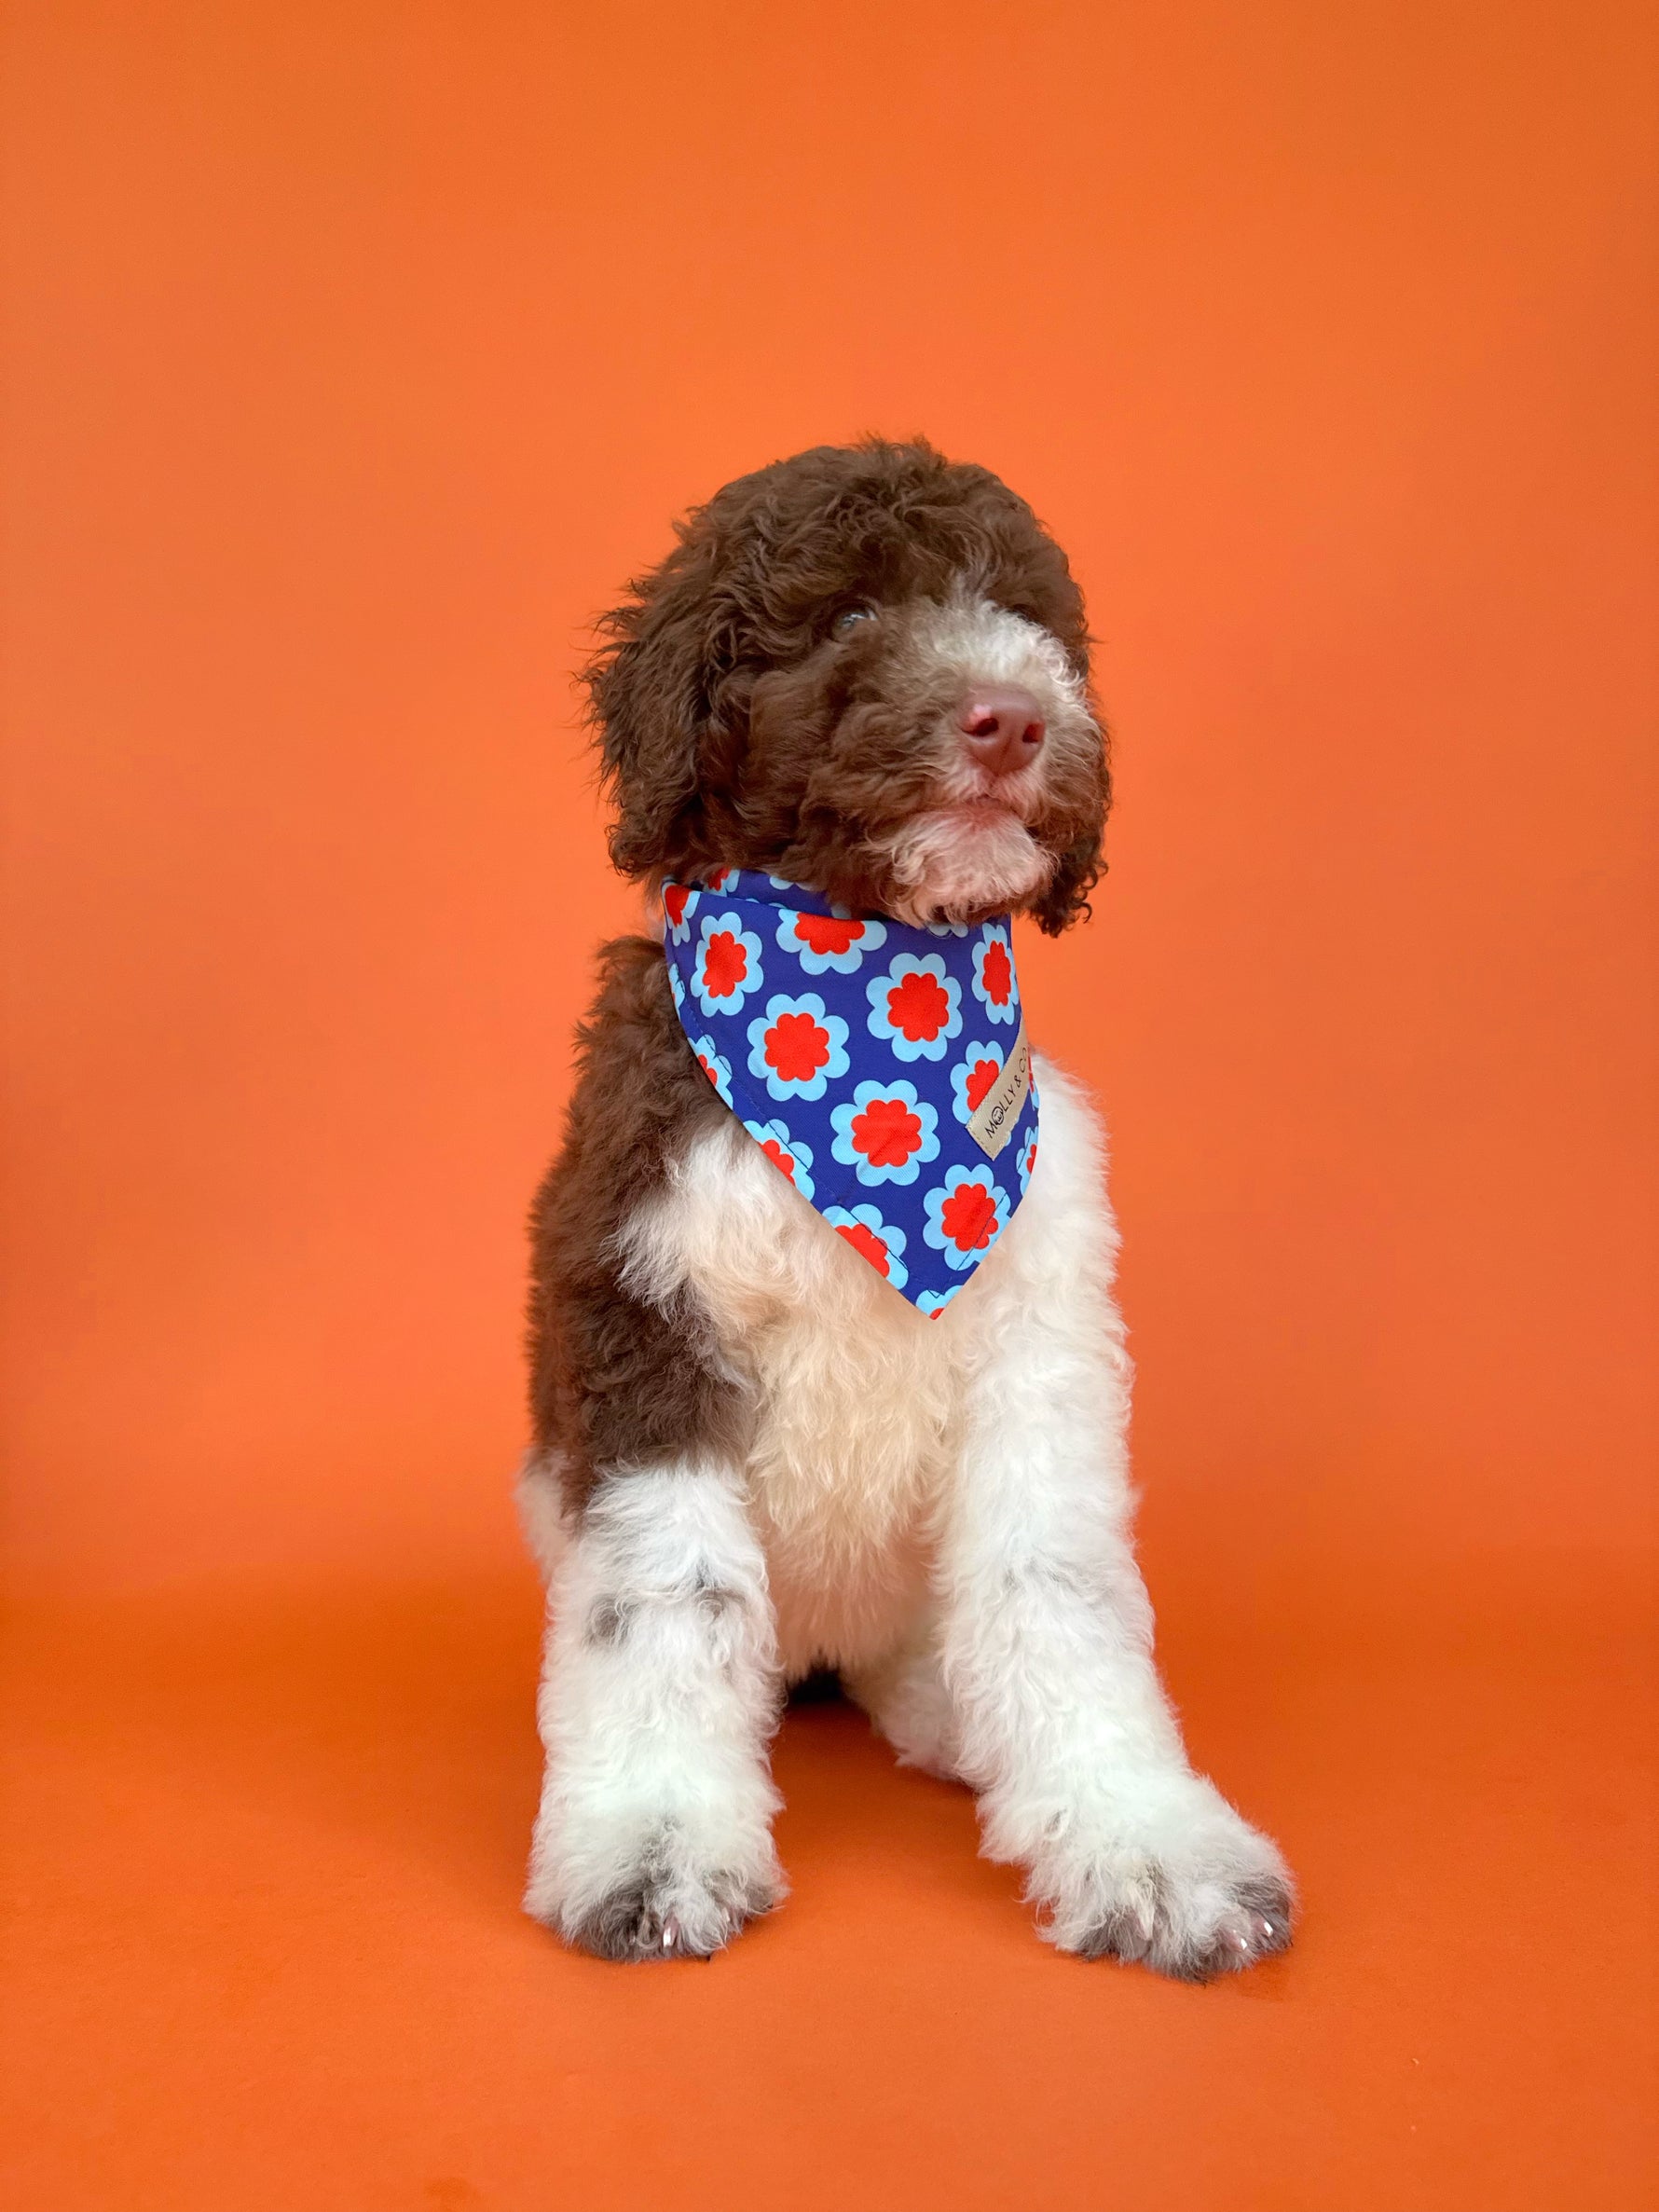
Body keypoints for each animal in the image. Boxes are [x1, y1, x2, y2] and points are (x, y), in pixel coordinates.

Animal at [518, 438, 1295, 1976]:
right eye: (850, 617)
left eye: (1029, 619)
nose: (1014, 719)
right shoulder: (642, 1324)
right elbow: (665, 1601)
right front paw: (650, 1843)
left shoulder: (1041, 1346)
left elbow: (1057, 1591)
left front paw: (1145, 1842)